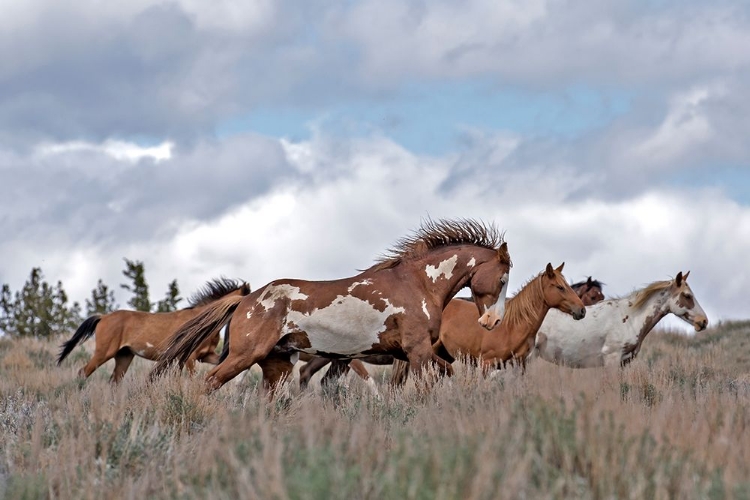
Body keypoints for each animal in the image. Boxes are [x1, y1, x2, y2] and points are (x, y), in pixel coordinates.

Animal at [58, 278, 253, 382]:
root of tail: (103, 317)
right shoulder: (190, 357)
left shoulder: (205, 356)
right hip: (103, 353)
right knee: (83, 372)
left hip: (124, 356)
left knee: (114, 380)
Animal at [153, 217, 516, 392]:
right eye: (502, 279)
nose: (493, 322)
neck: (419, 284)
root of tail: (246, 299)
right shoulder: (417, 352)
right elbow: (427, 386)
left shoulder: (412, 353)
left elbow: (447, 372)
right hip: (246, 355)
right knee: (211, 382)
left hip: (277, 365)